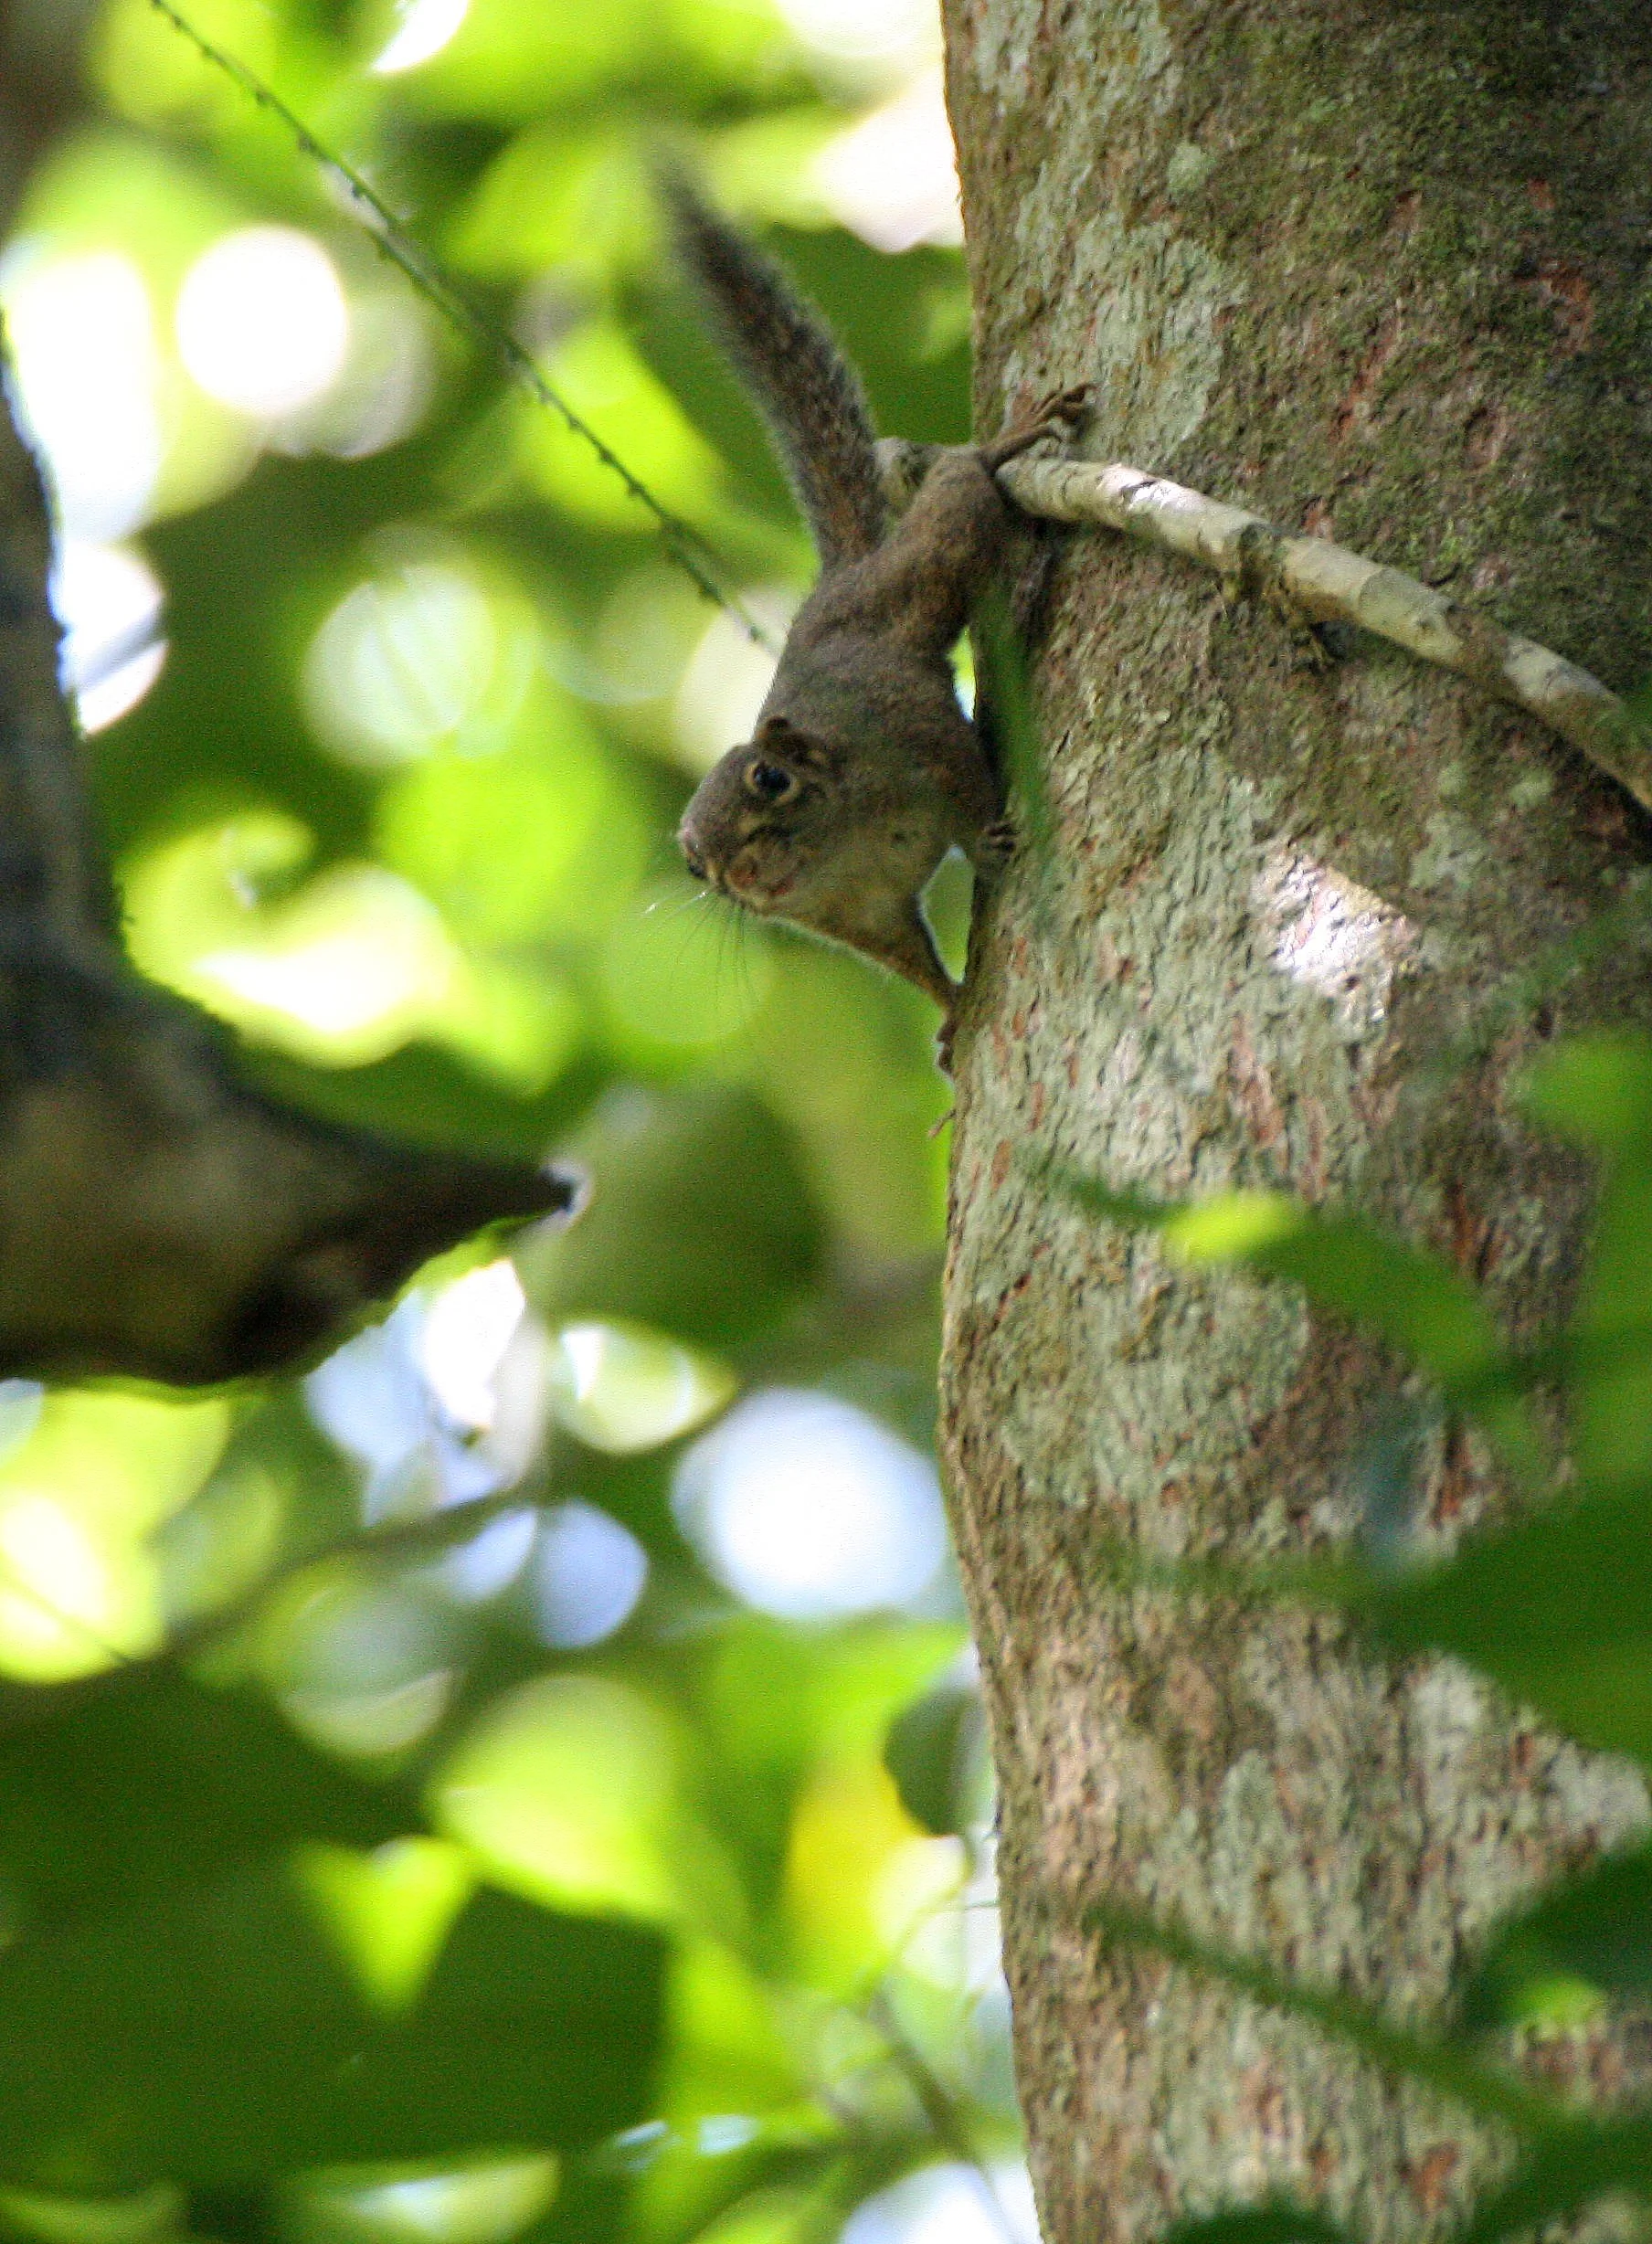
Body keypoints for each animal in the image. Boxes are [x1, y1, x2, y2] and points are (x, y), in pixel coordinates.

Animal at [662, 171, 1088, 1066]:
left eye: (771, 781)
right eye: (694, 869)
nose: (741, 879)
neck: (842, 850)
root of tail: (840, 580)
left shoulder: (913, 738)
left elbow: (965, 778)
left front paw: (989, 839)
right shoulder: (855, 918)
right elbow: (909, 959)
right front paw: (954, 1012)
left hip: (922, 567)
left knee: (957, 495)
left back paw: (1003, 445)